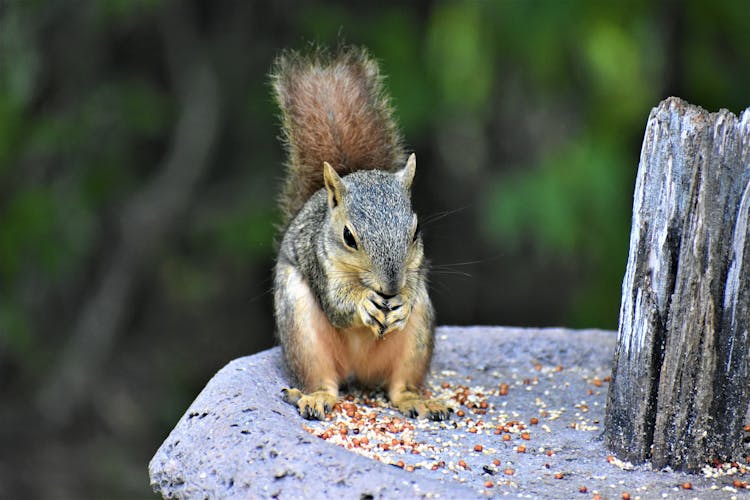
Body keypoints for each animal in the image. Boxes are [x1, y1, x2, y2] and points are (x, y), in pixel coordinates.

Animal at [270, 46, 450, 422]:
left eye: (416, 231)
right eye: (348, 237)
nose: (392, 288)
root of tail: (358, 371)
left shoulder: (415, 272)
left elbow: (411, 292)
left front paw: (402, 301)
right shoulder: (320, 264)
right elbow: (337, 304)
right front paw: (363, 302)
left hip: (418, 334)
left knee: (399, 386)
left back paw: (418, 401)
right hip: (301, 327)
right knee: (324, 379)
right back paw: (315, 398)